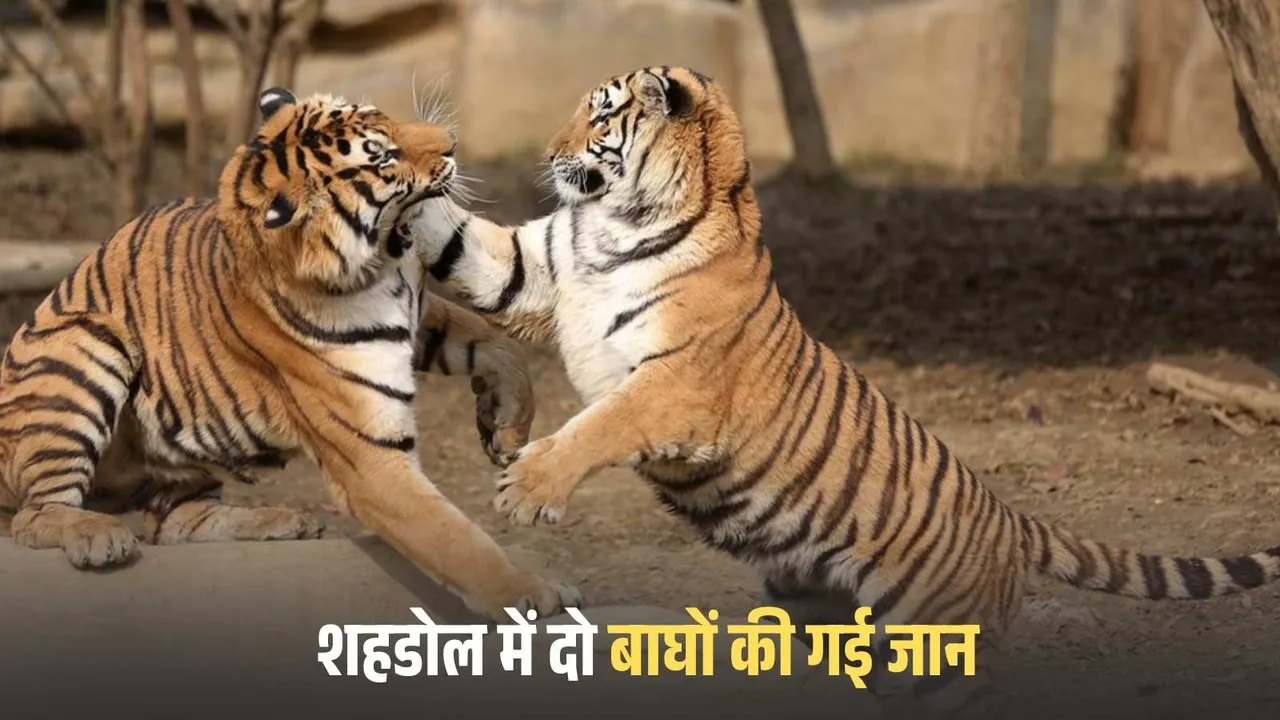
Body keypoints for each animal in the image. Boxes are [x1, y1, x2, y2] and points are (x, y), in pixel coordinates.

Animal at [0, 86, 579, 621]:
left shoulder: (420, 314)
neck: (379, 264)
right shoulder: (370, 459)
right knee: (35, 515)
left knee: (177, 522)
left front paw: (507, 428)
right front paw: (529, 591)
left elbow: (497, 344)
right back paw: (97, 536)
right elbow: (454, 539)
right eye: (382, 156)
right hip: (89, 345)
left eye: (383, 115)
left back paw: (284, 521)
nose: (452, 142)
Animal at [400, 65, 1280, 715]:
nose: (551, 153)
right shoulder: (530, 266)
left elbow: (599, 427)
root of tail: (1007, 515)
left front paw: (529, 489)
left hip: (935, 655)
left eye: (600, 117)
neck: (614, 222)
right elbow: (455, 236)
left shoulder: (675, 388)